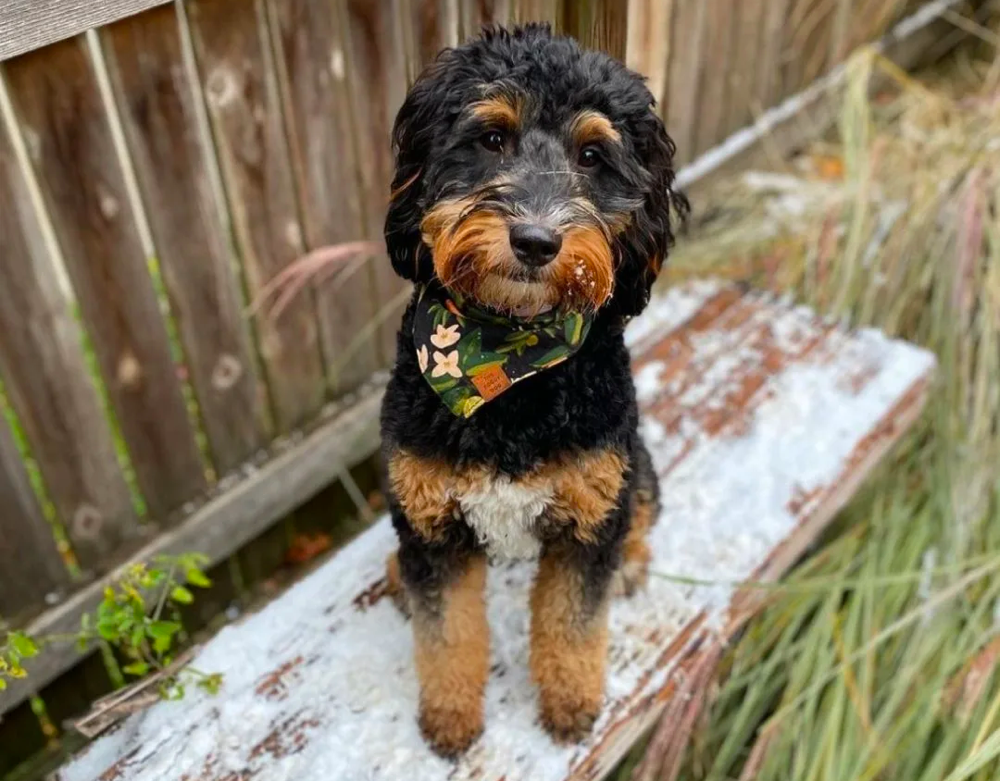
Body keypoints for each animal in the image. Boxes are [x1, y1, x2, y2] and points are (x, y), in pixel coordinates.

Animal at [378, 24, 684, 760]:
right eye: (492, 138)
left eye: (594, 156)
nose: (538, 240)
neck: (509, 373)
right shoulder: (433, 527)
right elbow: (447, 634)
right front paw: (450, 716)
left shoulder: (588, 518)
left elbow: (573, 623)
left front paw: (570, 705)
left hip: (633, 466)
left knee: (641, 509)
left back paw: (633, 562)